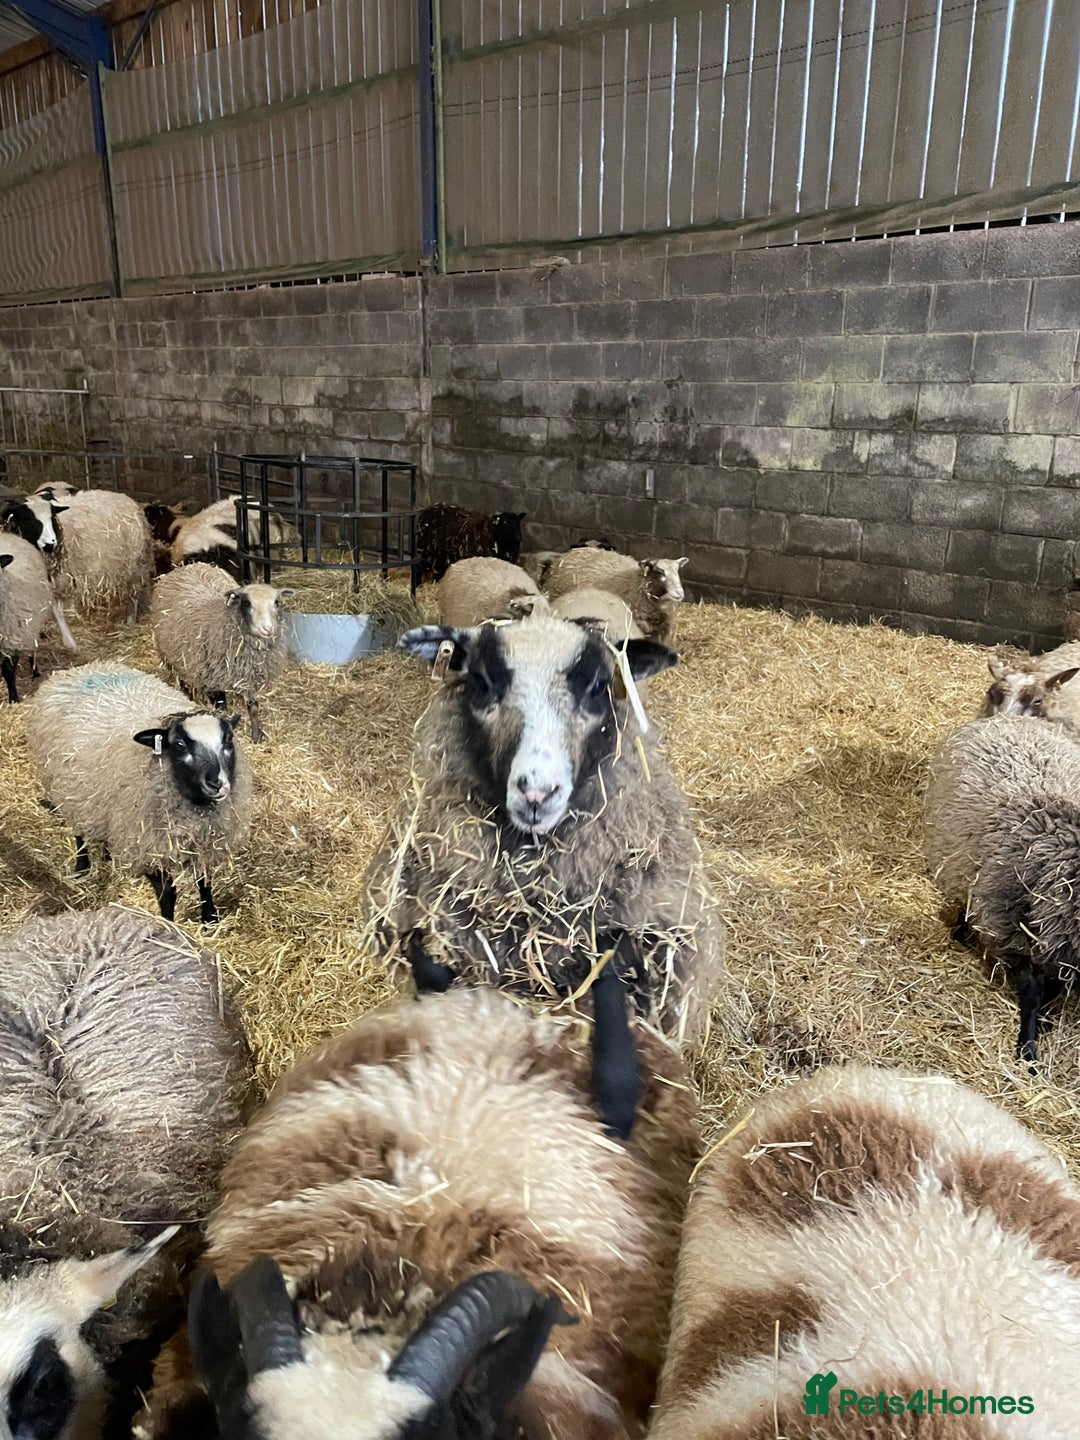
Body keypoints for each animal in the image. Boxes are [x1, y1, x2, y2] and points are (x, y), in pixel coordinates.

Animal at [28, 662, 254, 924]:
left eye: (228, 740)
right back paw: (82, 866)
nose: (218, 784)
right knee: (78, 833)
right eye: (179, 745)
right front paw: (168, 925)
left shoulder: (205, 843)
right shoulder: (145, 846)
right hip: (68, 792)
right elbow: (168, 893)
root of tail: (83, 669)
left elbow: (204, 880)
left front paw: (210, 917)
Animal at [150, 563, 293, 744]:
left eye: (276, 602)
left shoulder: (248, 677)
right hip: (173, 658)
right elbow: (222, 711)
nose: (267, 629)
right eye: (246, 602)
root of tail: (185, 566)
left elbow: (253, 707)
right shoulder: (212, 679)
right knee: (182, 681)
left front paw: (256, 736)